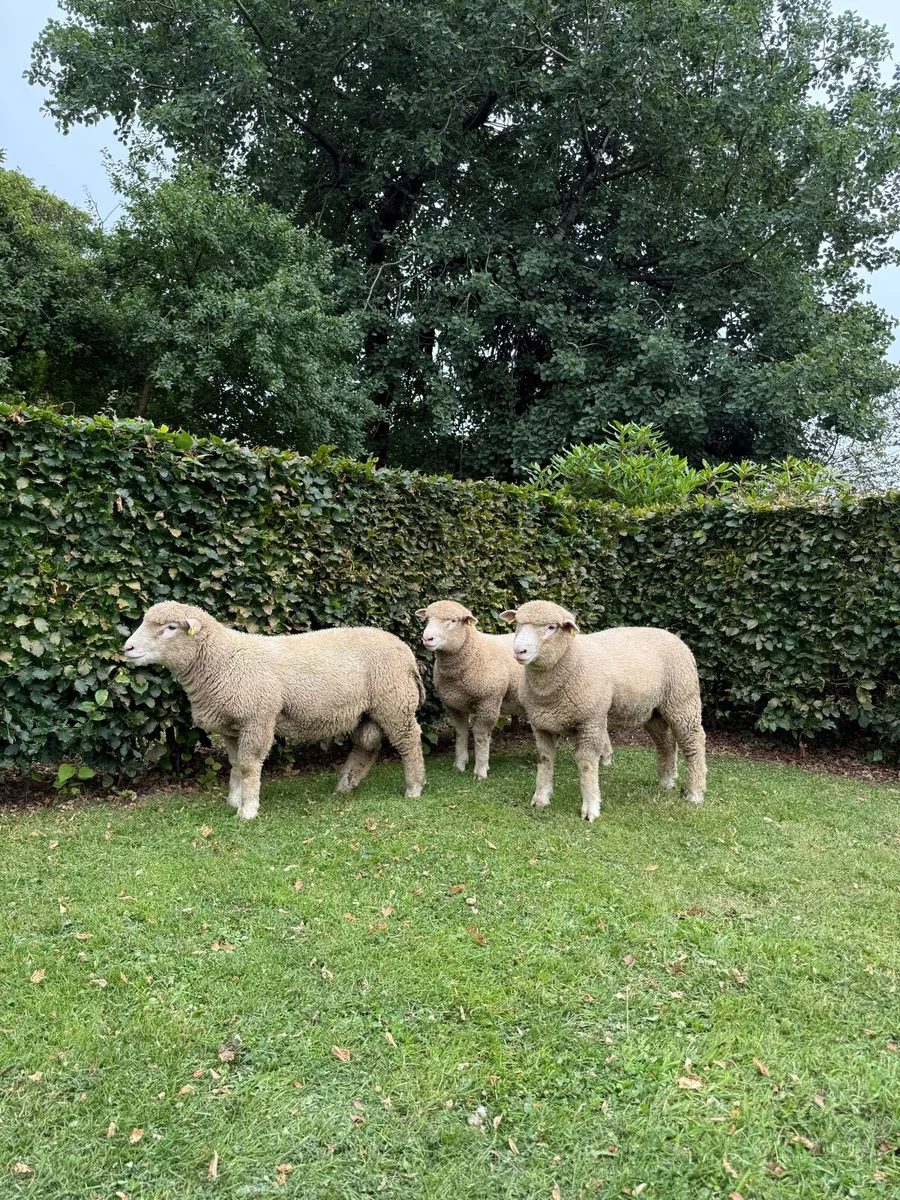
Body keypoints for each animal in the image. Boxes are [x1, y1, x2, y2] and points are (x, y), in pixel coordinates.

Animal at [122, 602, 426, 819]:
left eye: (170, 627)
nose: (127, 648)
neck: (222, 659)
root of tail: (404, 648)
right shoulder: (231, 726)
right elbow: (235, 764)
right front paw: (234, 800)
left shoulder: (257, 717)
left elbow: (248, 765)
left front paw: (247, 809)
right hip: (369, 709)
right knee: (367, 745)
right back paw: (345, 786)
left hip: (395, 702)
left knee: (409, 741)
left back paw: (414, 787)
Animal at [416, 600, 524, 778]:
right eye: (427, 619)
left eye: (453, 620)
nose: (427, 638)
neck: (474, 651)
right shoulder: (453, 704)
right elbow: (461, 733)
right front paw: (459, 765)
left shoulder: (489, 702)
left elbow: (480, 736)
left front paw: (480, 770)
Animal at [500, 600, 706, 821]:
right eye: (518, 623)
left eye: (551, 627)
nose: (519, 650)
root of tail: (675, 638)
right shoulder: (541, 724)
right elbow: (545, 759)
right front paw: (540, 798)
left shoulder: (591, 721)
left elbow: (586, 764)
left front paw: (590, 808)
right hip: (654, 712)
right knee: (665, 743)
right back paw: (666, 781)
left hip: (683, 702)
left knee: (694, 743)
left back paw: (695, 793)